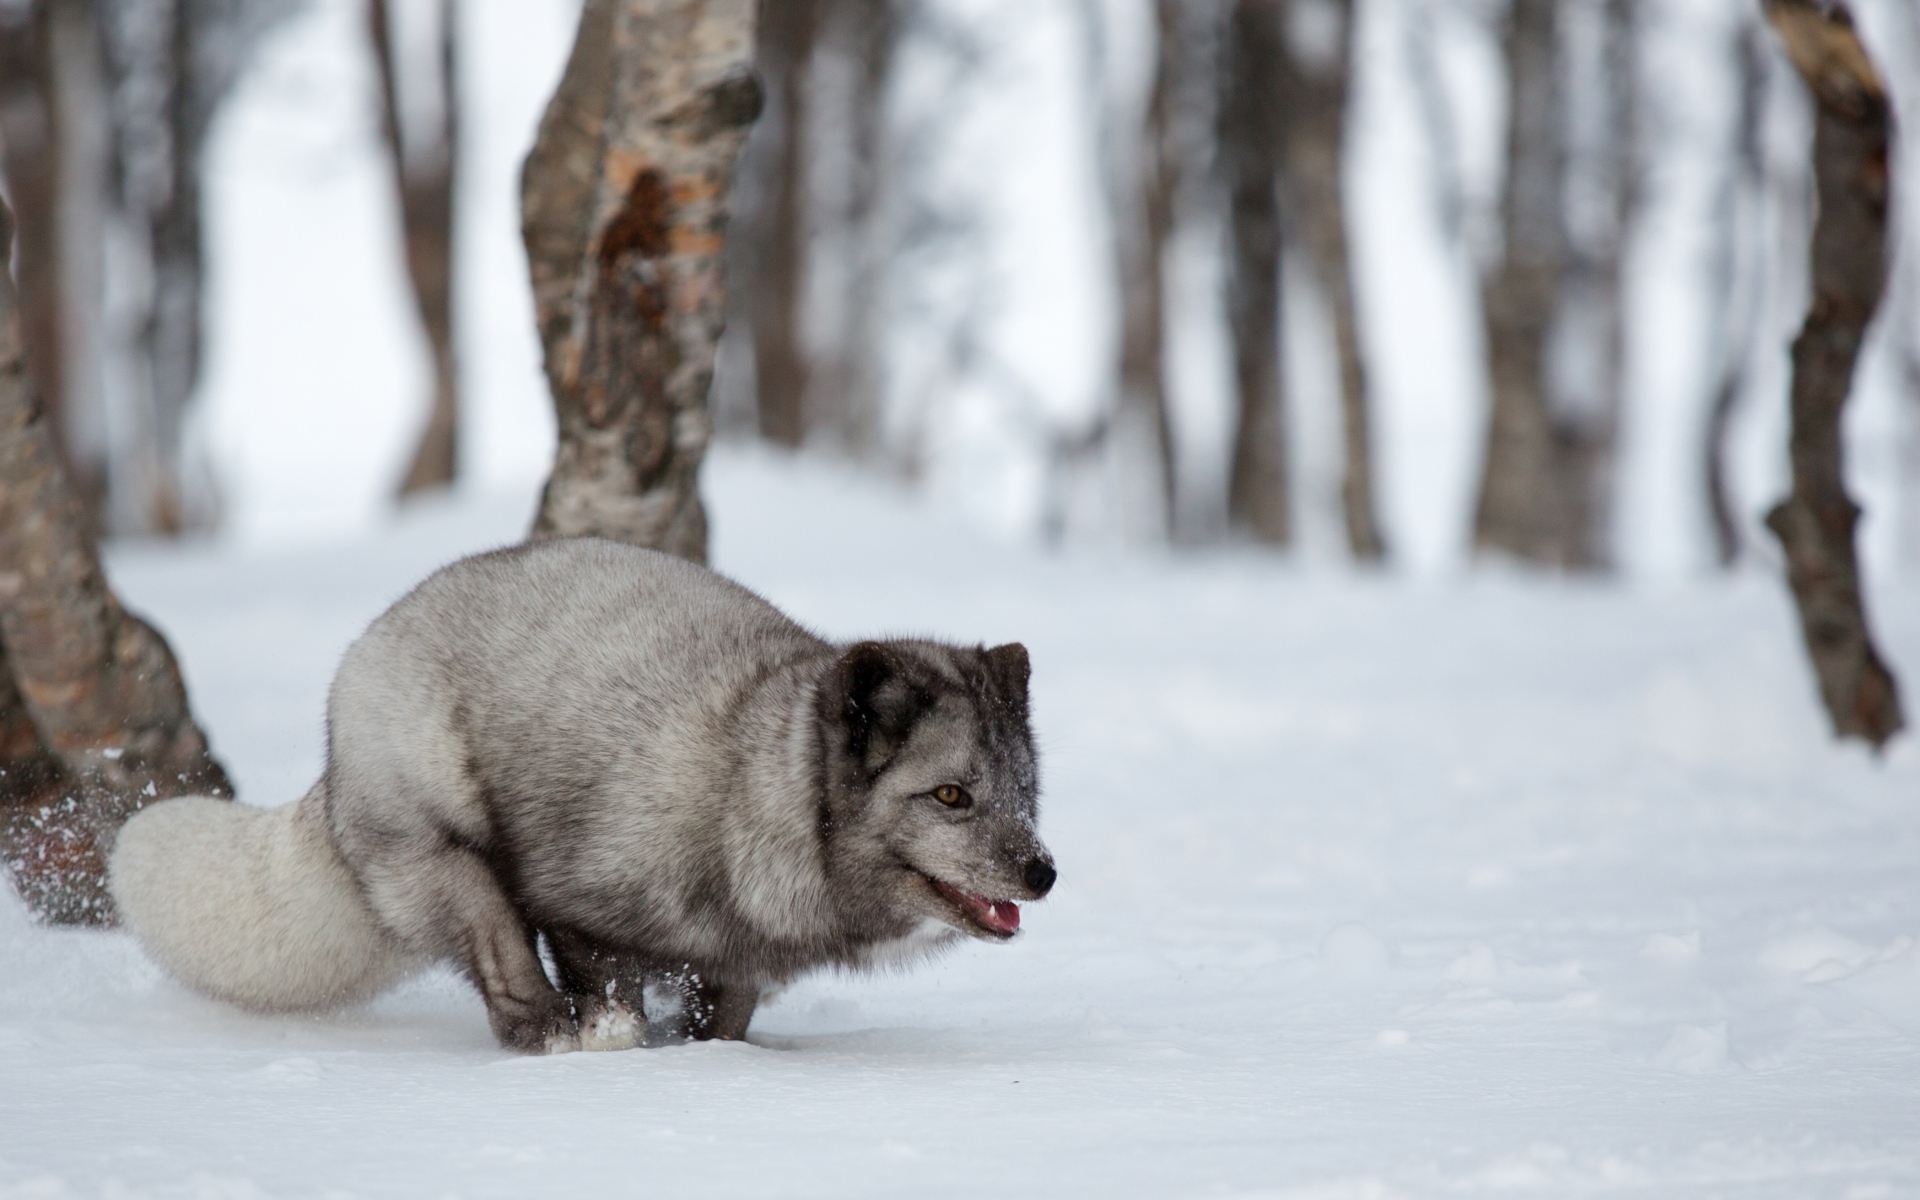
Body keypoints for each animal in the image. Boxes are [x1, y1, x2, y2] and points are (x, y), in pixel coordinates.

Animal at [107, 537, 1054, 1052]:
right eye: (952, 796)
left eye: (1024, 793)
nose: (1042, 873)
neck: (754, 789)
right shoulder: (579, 899)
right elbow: (603, 978)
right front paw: (615, 1042)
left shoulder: (740, 961)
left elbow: (727, 1018)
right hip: (446, 858)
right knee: (500, 962)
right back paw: (550, 1029)